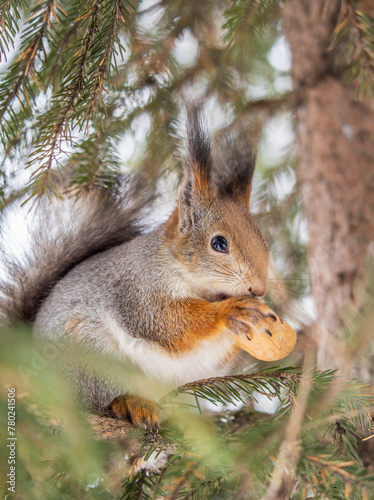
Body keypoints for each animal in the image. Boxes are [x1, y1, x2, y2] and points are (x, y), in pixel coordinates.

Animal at [0, 108, 278, 430]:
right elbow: (167, 323)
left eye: (264, 240)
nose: (259, 288)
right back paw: (131, 403)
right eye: (219, 243)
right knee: (99, 400)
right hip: (90, 353)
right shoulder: (140, 288)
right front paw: (232, 311)